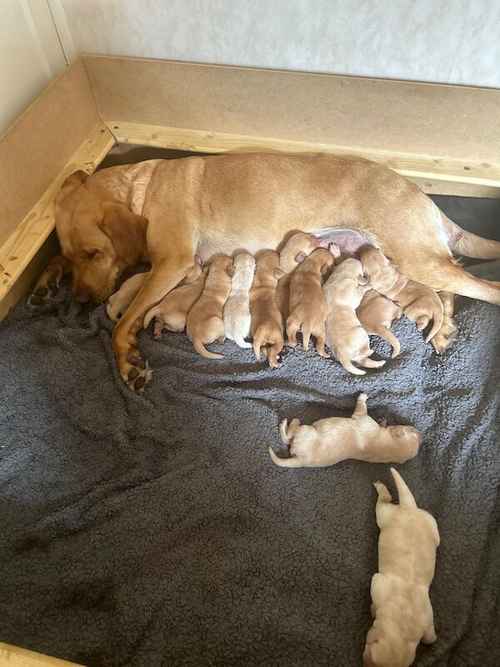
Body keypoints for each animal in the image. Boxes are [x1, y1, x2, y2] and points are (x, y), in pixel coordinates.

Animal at [34, 153, 500, 388]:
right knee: (447, 286)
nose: (80, 304)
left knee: (477, 284)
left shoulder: (171, 263)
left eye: (94, 252)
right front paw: (46, 280)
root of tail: (423, 196)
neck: (139, 189)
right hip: (409, 259)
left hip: (415, 254)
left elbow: (121, 325)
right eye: (75, 256)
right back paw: (442, 328)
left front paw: (127, 359)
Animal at [268, 392, 420, 470]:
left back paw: (288, 423)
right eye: (412, 429)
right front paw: (383, 420)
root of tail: (300, 460)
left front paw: (362, 397)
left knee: (288, 437)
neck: (386, 446)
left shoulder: (362, 418)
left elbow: (361, 408)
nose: (419, 431)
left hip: (305, 432)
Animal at [364, 470, 442, 667]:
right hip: (411, 518)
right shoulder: (379, 583)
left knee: (382, 503)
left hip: (393, 516)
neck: (404, 614)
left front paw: (372, 610)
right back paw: (381, 486)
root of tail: (408, 507)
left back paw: (382, 489)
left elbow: (429, 636)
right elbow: (430, 636)